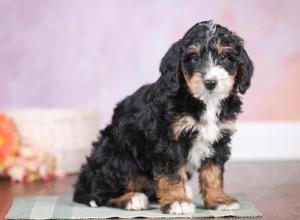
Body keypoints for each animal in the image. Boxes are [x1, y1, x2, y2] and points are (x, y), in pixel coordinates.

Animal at [73, 20, 253, 213]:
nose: (210, 83)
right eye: (194, 58)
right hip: (117, 157)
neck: (203, 100)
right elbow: (172, 173)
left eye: (225, 57)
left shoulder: (219, 139)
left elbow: (213, 172)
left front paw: (218, 199)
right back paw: (132, 198)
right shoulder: (166, 140)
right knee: (102, 192)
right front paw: (177, 201)